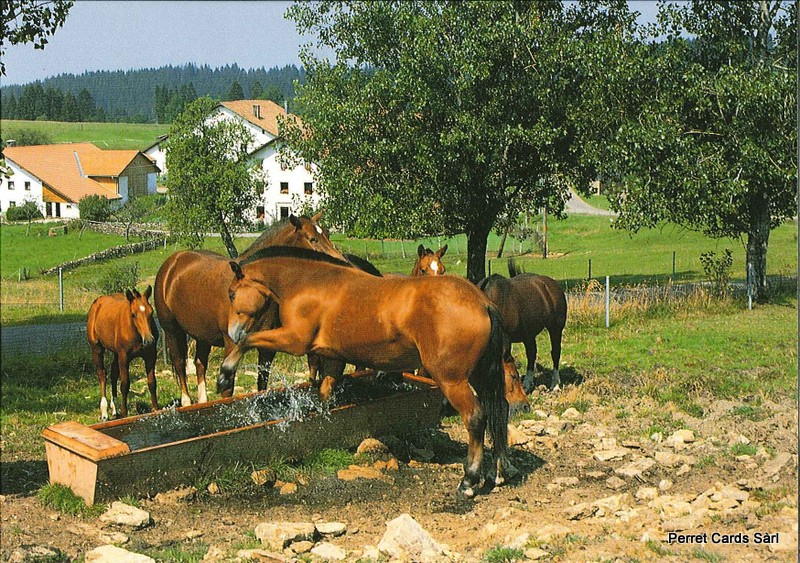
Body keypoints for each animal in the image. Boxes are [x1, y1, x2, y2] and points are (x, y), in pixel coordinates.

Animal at [86, 288, 159, 420]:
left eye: (151, 312)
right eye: (133, 314)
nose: (149, 340)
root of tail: (97, 302)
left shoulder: (150, 356)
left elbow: (152, 382)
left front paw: (156, 409)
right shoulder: (124, 357)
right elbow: (125, 384)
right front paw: (124, 413)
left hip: (116, 353)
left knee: (113, 372)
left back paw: (115, 408)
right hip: (97, 349)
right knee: (102, 374)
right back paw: (104, 412)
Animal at [153, 215, 346, 406]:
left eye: (327, 234)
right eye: (312, 238)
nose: (342, 263)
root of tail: (172, 262)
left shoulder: (268, 348)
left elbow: (262, 383)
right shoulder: (231, 344)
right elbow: (228, 388)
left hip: (202, 335)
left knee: (200, 364)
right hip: (172, 331)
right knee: (180, 364)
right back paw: (187, 402)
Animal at [220, 247, 512, 498]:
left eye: (232, 293)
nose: (231, 331)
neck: (311, 284)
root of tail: (482, 303)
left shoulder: (293, 340)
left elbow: (248, 341)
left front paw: (225, 373)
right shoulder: (332, 358)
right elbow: (324, 395)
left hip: (452, 380)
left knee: (475, 417)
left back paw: (469, 480)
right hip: (480, 375)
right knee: (499, 409)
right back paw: (498, 471)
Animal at [476, 262, 568, 390]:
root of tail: (551, 285)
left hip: (555, 328)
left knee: (555, 352)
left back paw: (555, 384)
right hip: (528, 335)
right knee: (532, 353)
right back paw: (527, 384)